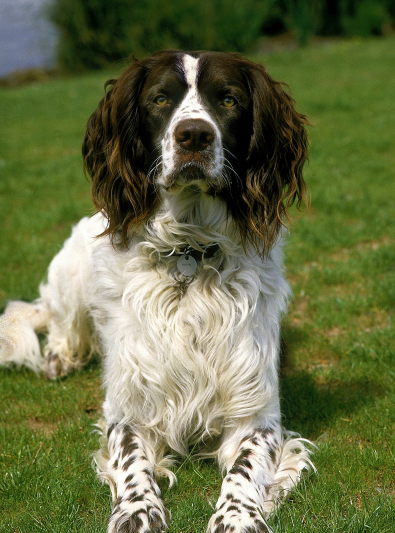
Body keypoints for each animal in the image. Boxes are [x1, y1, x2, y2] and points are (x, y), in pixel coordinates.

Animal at [0, 51, 316, 532]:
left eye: (229, 100)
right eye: (160, 99)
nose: (194, 135)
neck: (188, 249)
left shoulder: (256, 413)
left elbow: (245, 466)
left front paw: (237, 515)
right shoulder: (127, 406)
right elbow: (130, 456)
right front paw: (136, 508)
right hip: (70, 275)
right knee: (58, 323)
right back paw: (59, 357)